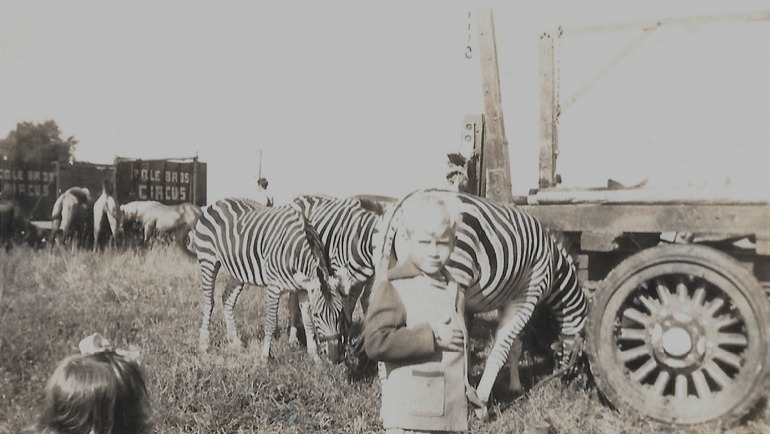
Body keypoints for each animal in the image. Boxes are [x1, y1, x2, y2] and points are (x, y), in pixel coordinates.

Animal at [189, 197, 348, 362]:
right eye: (318, 315)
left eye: (340, 314)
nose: (335, 358)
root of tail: (217, 202)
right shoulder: (274, 287)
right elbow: (271, 323)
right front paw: (265, 357)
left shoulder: (304, 288)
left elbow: (307, 322)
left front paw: (315, 357)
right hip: (208, 259)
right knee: (209, 302)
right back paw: (203, 345)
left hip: (237, 270)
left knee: (227, 298)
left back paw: (235, 341)